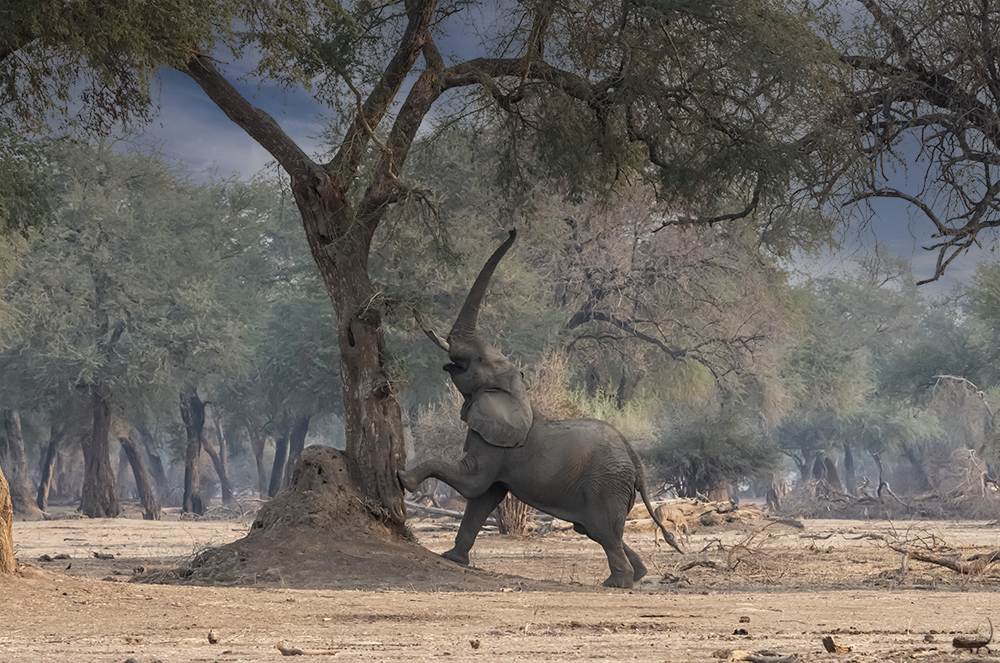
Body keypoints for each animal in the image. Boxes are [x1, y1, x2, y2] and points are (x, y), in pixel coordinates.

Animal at [402, 231, 684, 588]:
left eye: (476, 360)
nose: (512, 231)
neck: (516, 391)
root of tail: (635, 460)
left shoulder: (495, 445)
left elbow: (473, 484)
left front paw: (403, 479)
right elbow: (483, 498)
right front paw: (452, 558)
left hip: (606, 483)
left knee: (605, 531)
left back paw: (617, 583)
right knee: (597, 531)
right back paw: (638, 574)